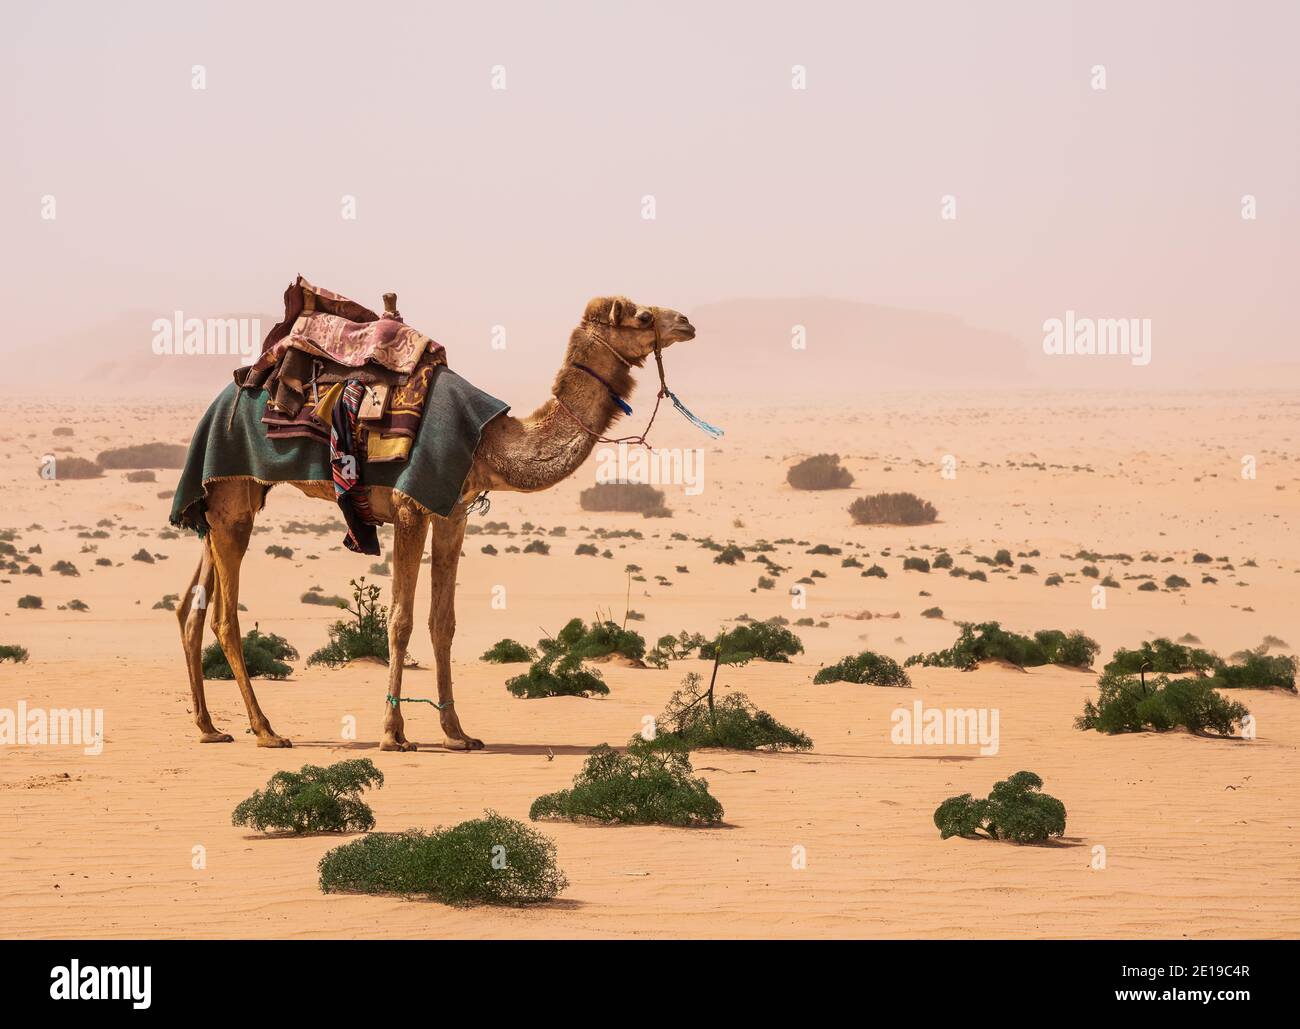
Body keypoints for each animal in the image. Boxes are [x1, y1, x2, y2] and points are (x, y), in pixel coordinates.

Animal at [180, 293, 702, 753]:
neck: (489, 443)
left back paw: (209, 728)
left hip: (221, 504)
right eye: (642, 316)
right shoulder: (411, 509)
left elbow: (442, 622)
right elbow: (401, 620)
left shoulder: (453, 514)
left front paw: (458, 734)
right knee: (225, 616)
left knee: (192, 609)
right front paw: (393, 733)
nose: (686, 322)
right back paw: (266, 730)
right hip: (235, 499)